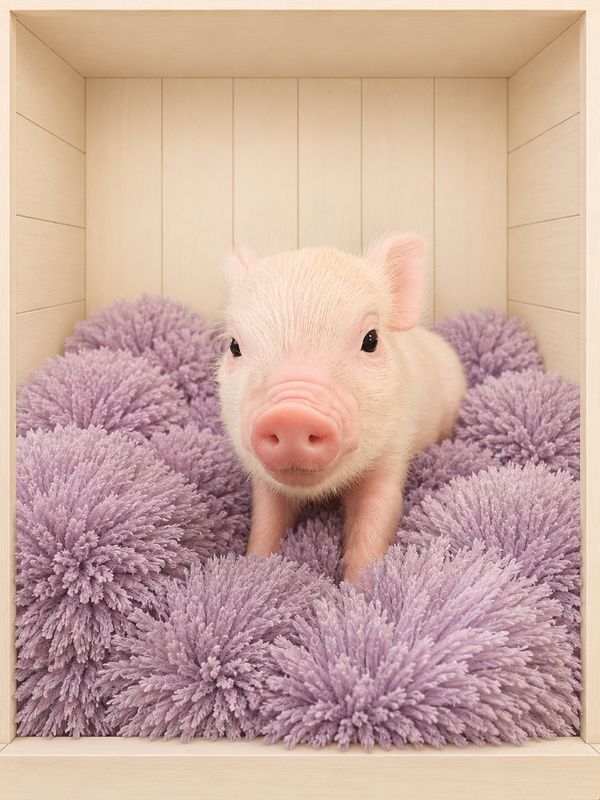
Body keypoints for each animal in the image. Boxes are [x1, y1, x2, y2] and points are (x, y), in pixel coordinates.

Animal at [217, 235, 466, 582]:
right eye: (234, 346)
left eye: (371, 339)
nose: (292, 415)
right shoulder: (265, 482)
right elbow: (266, 521)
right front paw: (255, 569)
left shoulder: (391, 455)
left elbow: (375, 519)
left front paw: (358, 588)